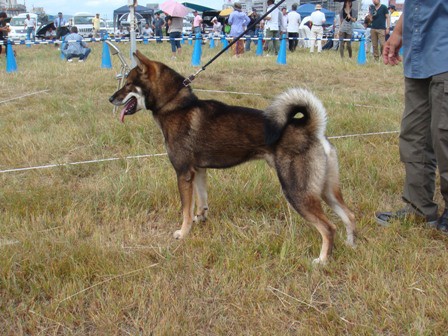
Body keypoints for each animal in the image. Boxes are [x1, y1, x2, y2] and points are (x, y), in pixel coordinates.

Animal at [110, 51, 356, 264]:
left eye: (128, 83)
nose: (111, 98)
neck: (175, 105)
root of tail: (312, 129)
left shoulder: (183, 173)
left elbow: (186, 210)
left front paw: (183, 233)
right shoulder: (199, 171)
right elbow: (201, 201)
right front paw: (201, 219)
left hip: (297, 192)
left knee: (328, 228)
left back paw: (322, 261)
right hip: (326, 190)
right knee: (349, 215)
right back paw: (351, 245)